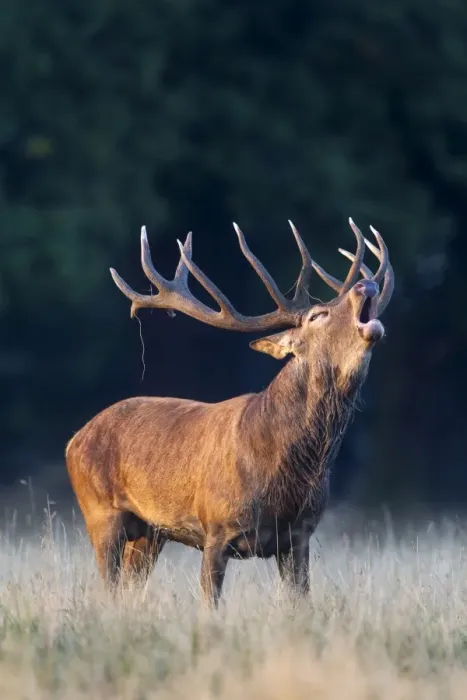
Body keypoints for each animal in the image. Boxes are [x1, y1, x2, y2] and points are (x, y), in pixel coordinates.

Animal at [66, 218, 394, 606]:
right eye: (318, 315)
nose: (365, 284)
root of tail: (74, 440)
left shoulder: (300, 535)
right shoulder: (216, 529)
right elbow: (211, 603)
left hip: (150, 532)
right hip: (100, 513)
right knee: (108, 585)